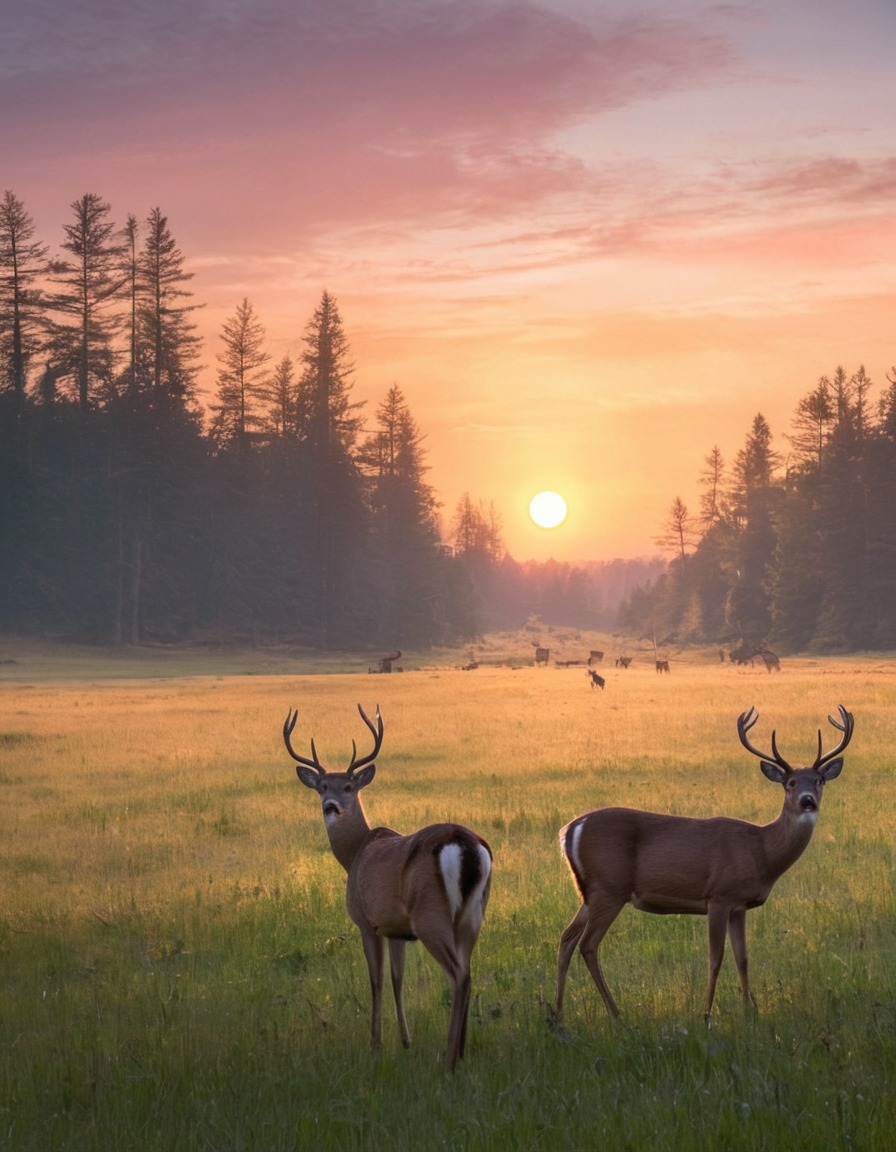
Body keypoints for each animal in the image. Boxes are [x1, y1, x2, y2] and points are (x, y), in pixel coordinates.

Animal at [283, 700, 492, 1069]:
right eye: (322, 786)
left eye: (349, 787)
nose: (331, 806)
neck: (356, 852)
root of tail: (465, 844)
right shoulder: (398, 930)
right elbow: (397, 979)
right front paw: (406, 1041)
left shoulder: (368, 921)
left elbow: (376, 981)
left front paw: (375, 1043)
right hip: (472, 914)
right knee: (468, 971)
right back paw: (462, 1051)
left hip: (431, 915)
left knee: (459, 976)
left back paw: (450, 1059)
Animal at [550, 700, 852, 1027]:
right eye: (790, 783)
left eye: (820, 781)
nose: (808, 800)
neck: (760, 851)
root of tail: (570, 829)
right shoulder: (719, 895)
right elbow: (716, 958)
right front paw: (706, 1015)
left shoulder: (739, 905)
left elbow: (743, 958)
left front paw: (751, 1011)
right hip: (609, 888)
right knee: (588, 944)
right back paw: (616, 1015)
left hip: (591, 893)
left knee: (566, 939)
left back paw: (558, 1017)